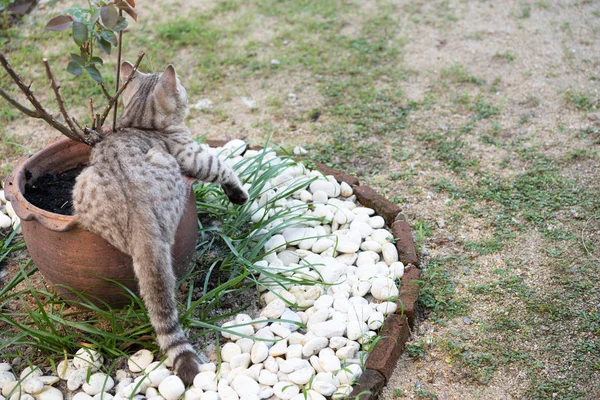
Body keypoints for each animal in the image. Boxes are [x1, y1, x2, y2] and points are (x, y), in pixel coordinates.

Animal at [72, 61, 248, 382]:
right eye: (183, 88)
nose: (188, 91)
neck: (140, 123)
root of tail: (140, 215)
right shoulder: (194, 155)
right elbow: (223, 167)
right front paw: (238, 194)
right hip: (168, 168)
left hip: (82, 182)